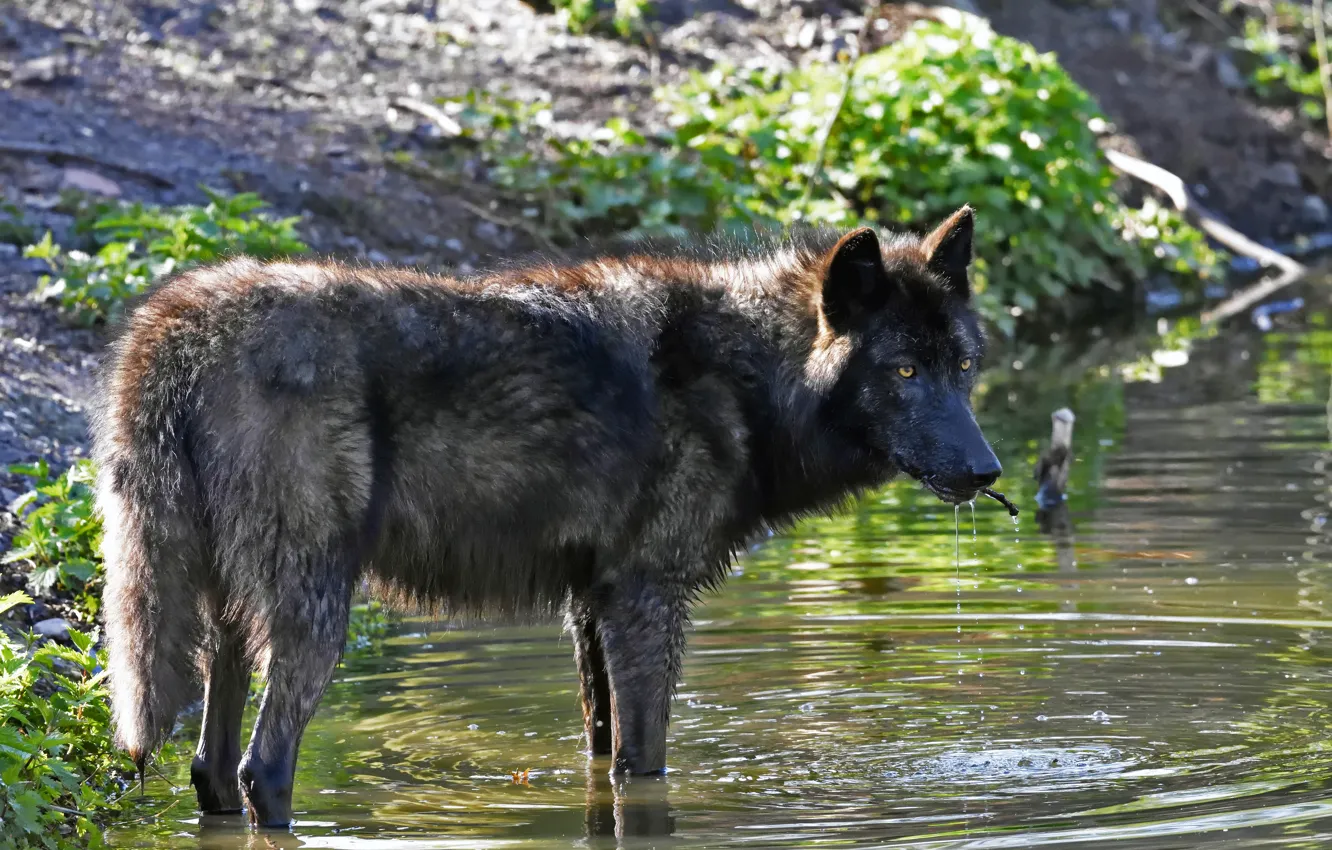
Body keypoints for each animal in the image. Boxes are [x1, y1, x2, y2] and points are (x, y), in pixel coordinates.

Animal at [92, 205, 1001, 828]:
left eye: (961, 366)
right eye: (905, 371)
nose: (986, 469)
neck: (747, 379)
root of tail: (179, 321)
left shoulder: (589, 605)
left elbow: (602, 749)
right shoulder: (646, 600)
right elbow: (645, 759)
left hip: (229, 617)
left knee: (212, 771)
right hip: (317, 615)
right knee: (264, 769)